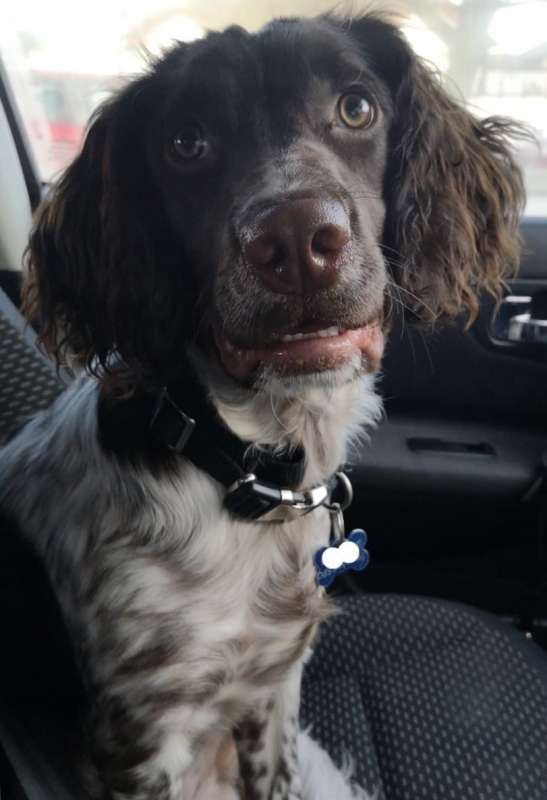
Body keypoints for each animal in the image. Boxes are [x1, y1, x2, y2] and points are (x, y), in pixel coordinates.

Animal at [2, 12, 528, 800]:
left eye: (356, 108)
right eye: (185, 144)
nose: (297, 239)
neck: (246, 469)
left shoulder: (272, 686)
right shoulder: (139, 739)